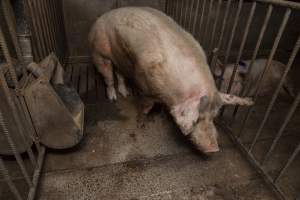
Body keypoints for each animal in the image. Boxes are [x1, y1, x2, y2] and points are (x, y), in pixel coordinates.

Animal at [88, 6, 254, 153]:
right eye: (197, 119)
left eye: (214, 117)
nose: (214, 149)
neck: (173, 95)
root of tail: (102, 16)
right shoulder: (145, 86)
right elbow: (145, 106)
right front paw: (142, 122)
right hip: (98, 51)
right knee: (108, 76)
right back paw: (113, 98)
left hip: (120, 58)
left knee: (119, 73)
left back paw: (125, 93)